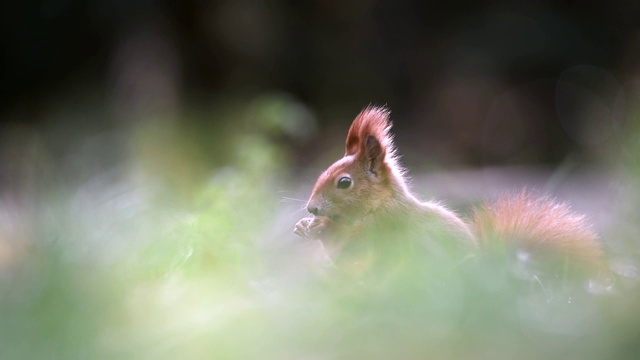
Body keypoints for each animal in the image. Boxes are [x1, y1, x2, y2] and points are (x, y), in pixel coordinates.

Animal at [296, 105, 604, 272]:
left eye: (344, 182)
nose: (312, 207)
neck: (379, 204)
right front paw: (304, 226)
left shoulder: (384, 226)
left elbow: (351, 244)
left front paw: (321, 228)